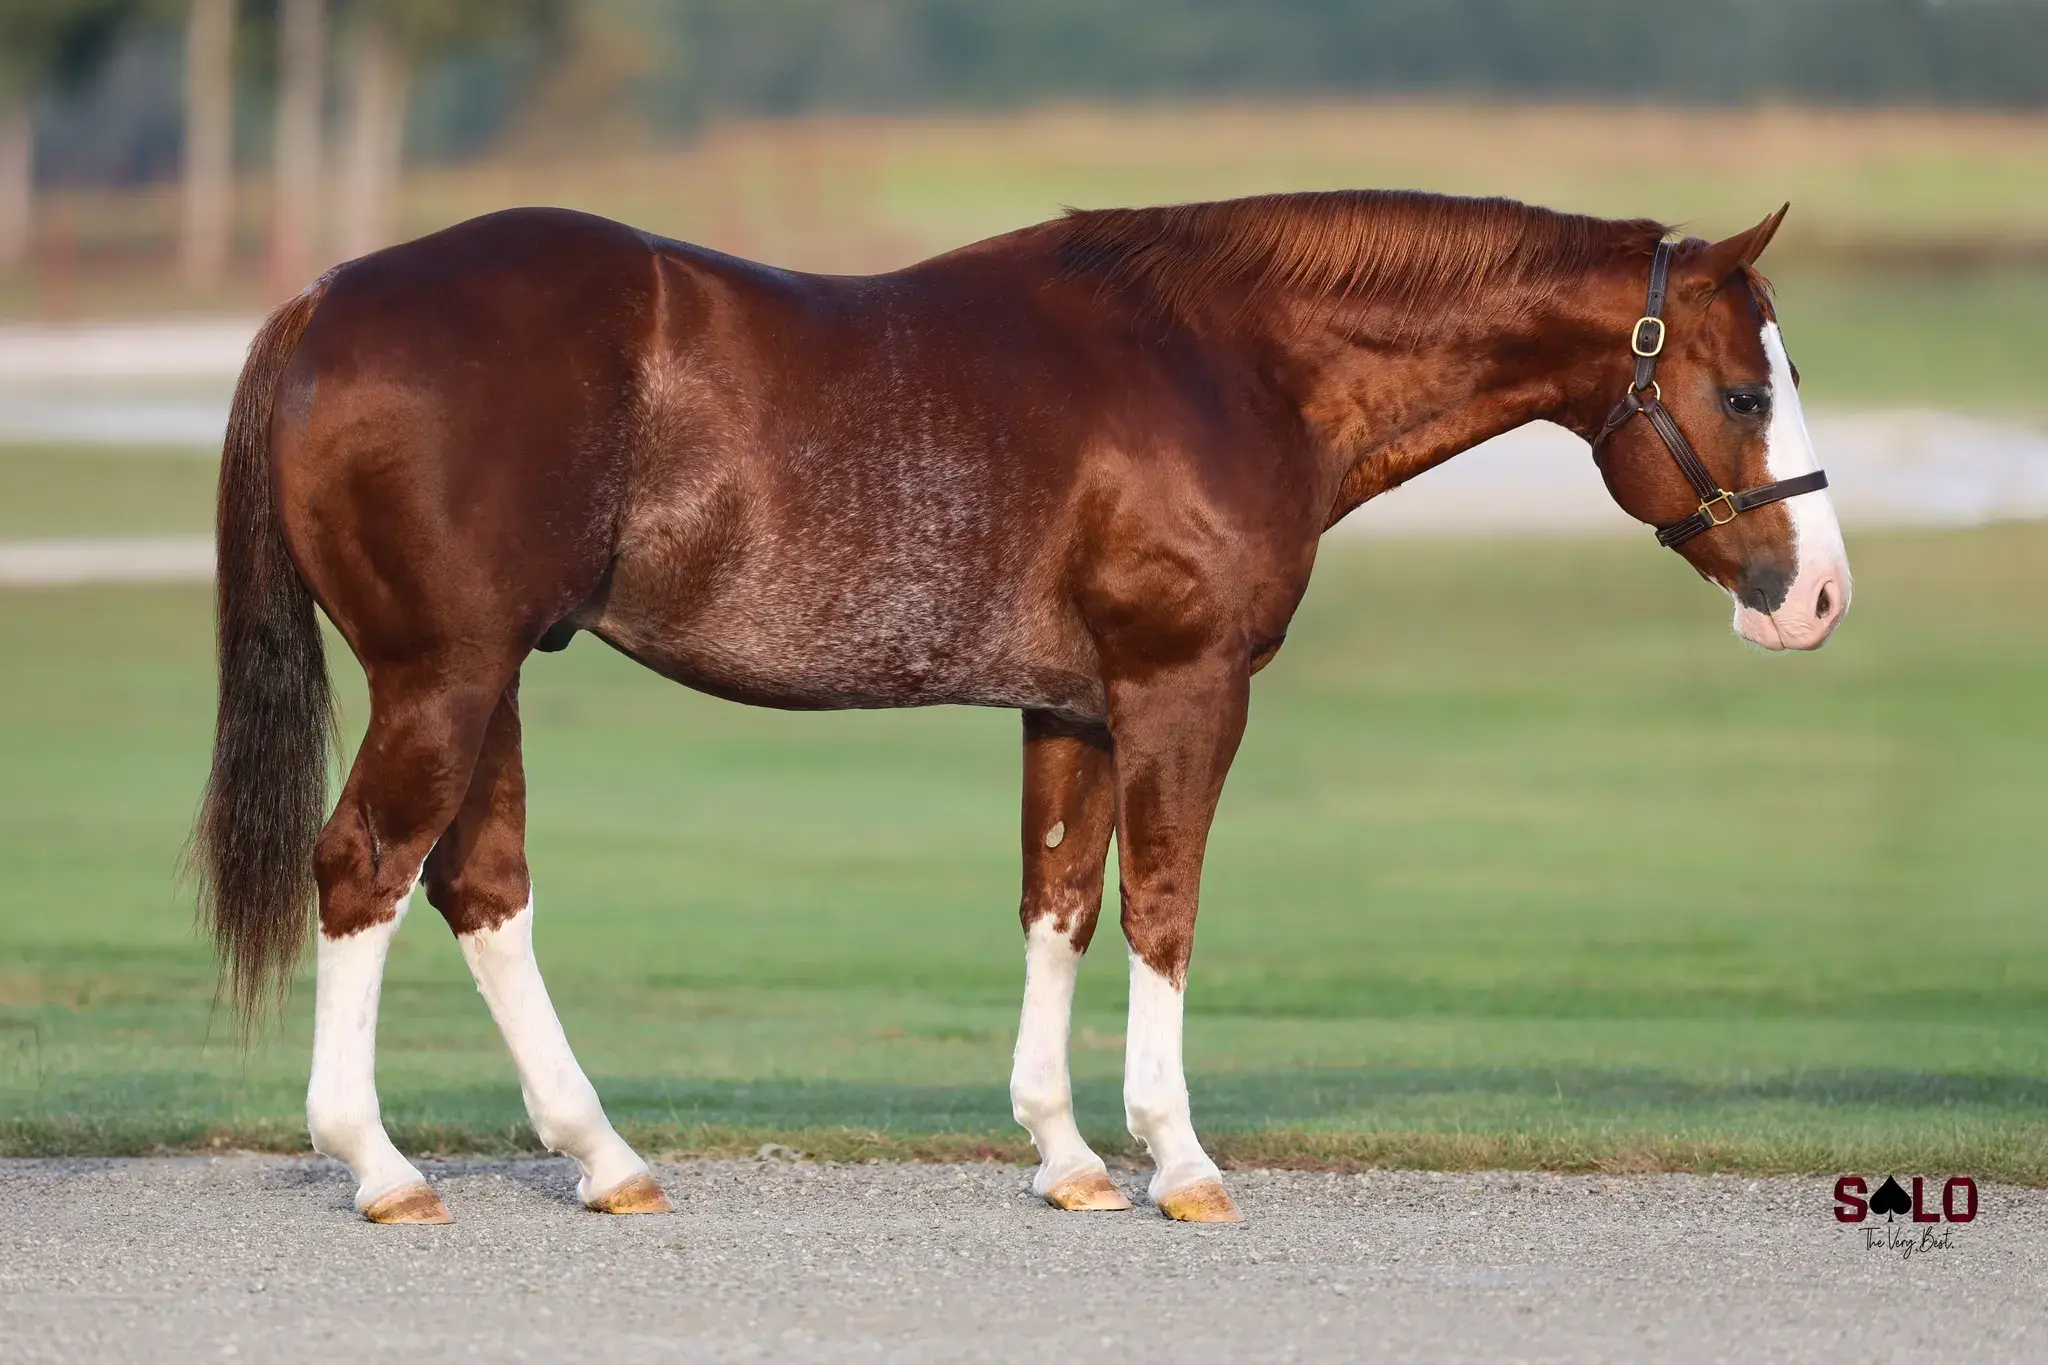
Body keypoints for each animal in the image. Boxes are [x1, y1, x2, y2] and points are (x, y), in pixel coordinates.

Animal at [194, 190, 1849, 1225]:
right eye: (1745, 392)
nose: (1819, 594)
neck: (1227, 363)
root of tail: (326, 298)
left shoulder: (1076, 710)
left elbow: (1060, 902)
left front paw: (1068, 1156)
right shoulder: (1182, 689)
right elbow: (1165, 907)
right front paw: (1180, 1158)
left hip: (486, 680)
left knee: (479, 890)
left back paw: (603, 1156)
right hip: (446, 677)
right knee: (364, 869)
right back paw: (381, 1166)